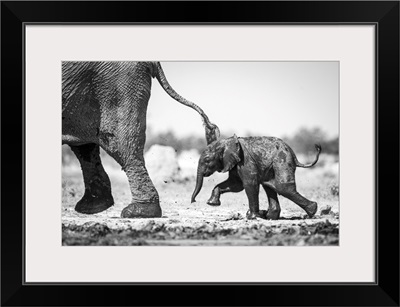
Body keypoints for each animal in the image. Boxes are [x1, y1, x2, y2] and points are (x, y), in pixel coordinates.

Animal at [191, 136, 322, 220]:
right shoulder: (235, 163)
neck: (227, 141)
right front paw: (212, 203)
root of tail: (294, 155)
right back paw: (269, 217)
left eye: (207, 159)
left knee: (283, 187)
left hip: (283, 160)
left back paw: (312, 211)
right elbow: (235, 185)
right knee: (270, 186)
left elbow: (249, 184)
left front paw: (252, 217)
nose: (193, 201)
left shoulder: (245, 161)